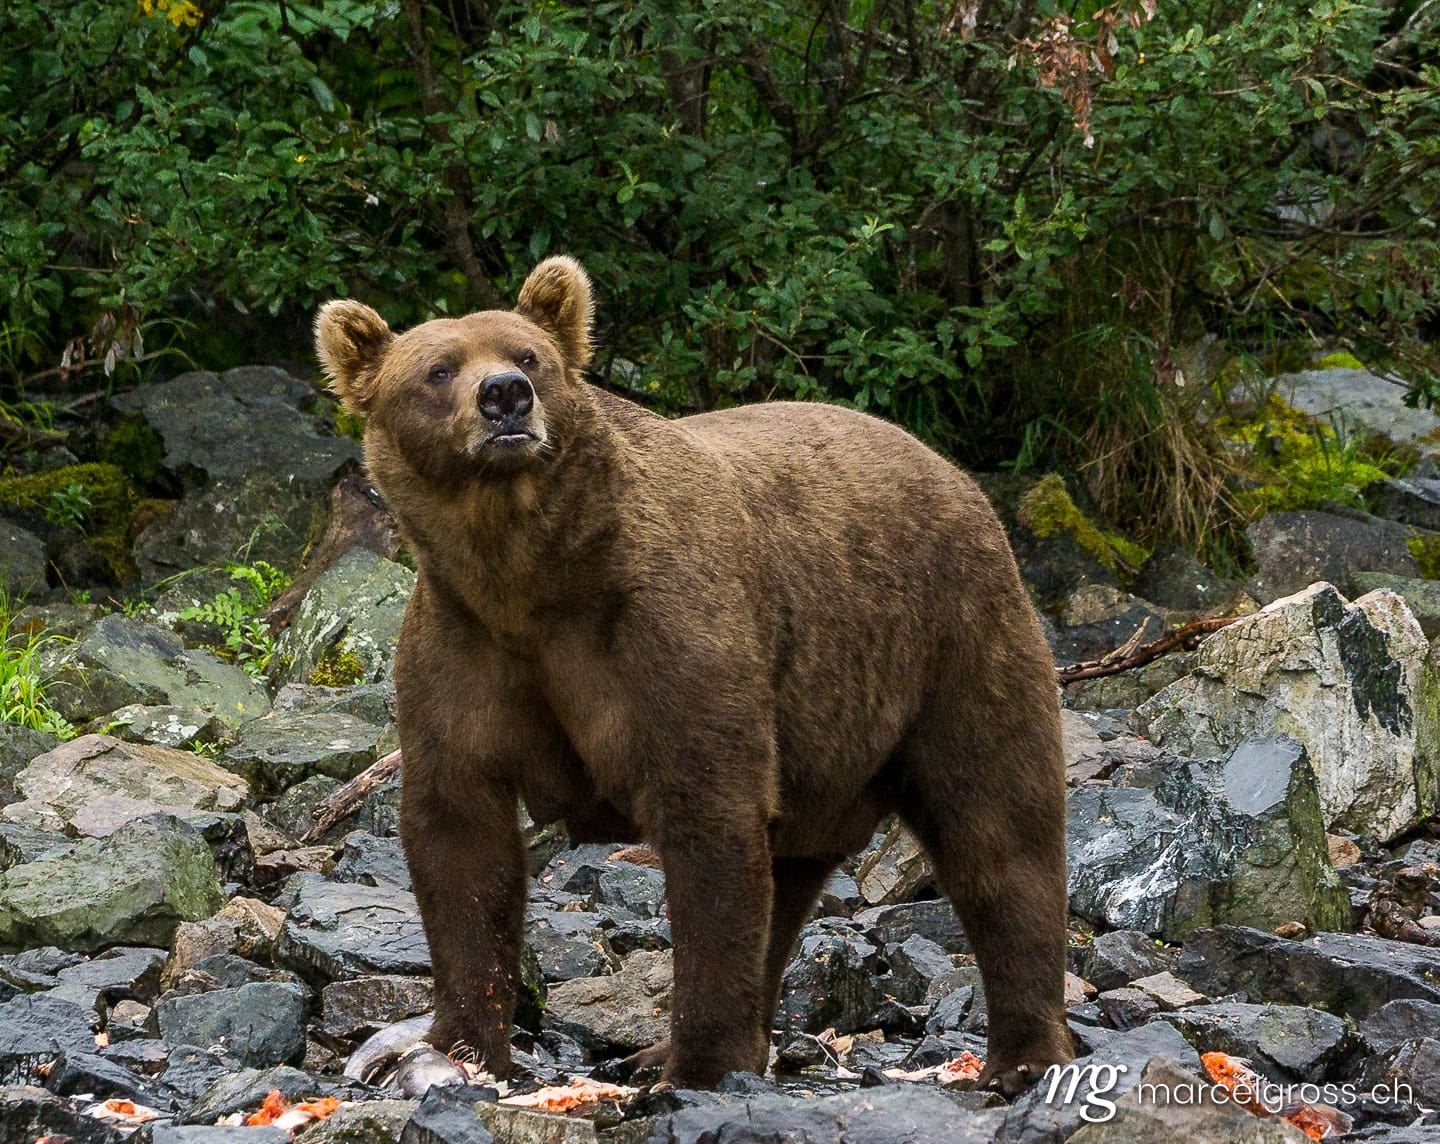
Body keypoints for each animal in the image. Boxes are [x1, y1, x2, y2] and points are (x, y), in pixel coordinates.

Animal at [315, 256, 1072, 1094]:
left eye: (528, 356)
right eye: (438, 369)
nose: (505, 396)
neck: (531, 575)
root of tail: (956, 474)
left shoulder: (666, 632)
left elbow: (708, 822)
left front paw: (701, 1062)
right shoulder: (461, 651)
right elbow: (461, 836)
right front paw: (459, 1043)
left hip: (954, 638)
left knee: (998, 831)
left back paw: (1022, 1053)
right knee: (790, 883)